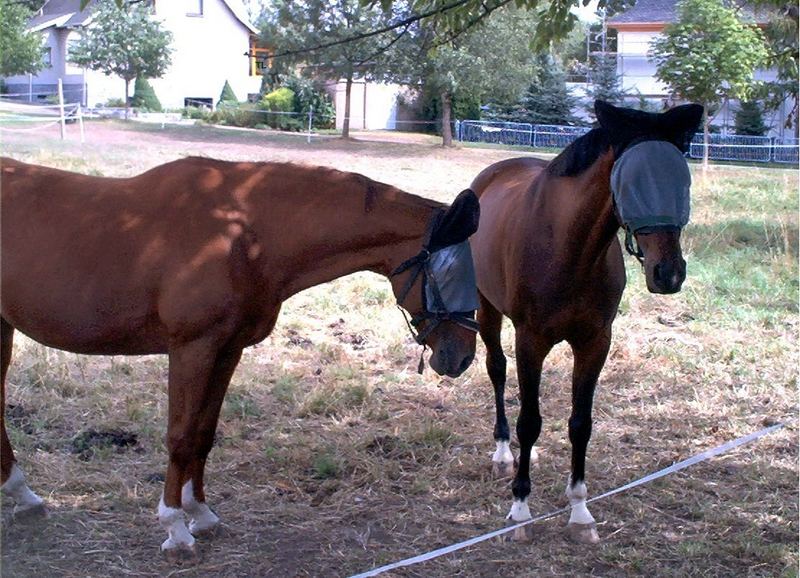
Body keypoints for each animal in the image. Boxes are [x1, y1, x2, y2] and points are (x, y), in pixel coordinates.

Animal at [0, 155, 482, 556]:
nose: (460, 358)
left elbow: (204, 433)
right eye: (449, 272)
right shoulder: (192, 347)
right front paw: (175, 528)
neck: (242, 234)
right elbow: (180, 436)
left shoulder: (226, 349)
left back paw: (23, 495)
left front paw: (200, 514)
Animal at [472, 101, 704, 544]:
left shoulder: (596, 342)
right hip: (486, 307)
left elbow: (581, 424)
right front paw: (520, 509)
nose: (668, 273)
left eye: (681, 179)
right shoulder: (531, 341)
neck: (570, 248)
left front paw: (580, 512)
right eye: (632, 182)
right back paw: (502, 454)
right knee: (497, 371)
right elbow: (530, 421)